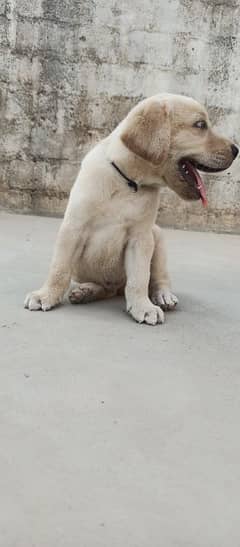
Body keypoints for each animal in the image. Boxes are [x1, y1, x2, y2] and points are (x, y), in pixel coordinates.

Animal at [24, 94, 238, 326]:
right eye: (200, 125)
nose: (236, 150)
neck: (128, 182)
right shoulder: (73, 227)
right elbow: (59, 268)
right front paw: (46, 295)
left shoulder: (141, 238)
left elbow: (139, 278)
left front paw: (142, 307)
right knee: (105, 288)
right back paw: (86, 291)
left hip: (157, 237)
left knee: (158, 278)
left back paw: (162, 295)